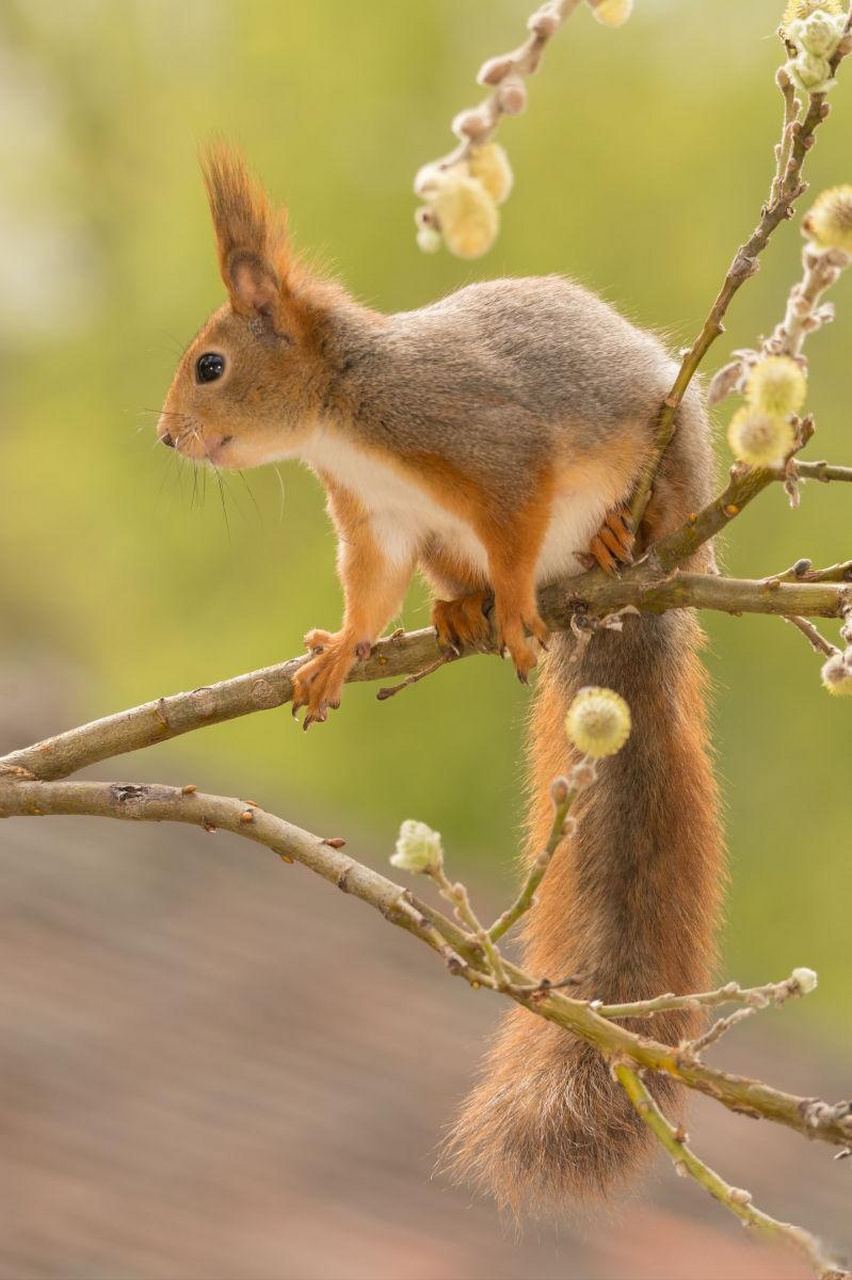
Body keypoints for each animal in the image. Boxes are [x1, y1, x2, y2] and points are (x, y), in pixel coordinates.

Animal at [159, 147, 721, 1208]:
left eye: (211, 364)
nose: (167, 437)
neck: (343, 408)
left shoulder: (490, 447)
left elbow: (516, 525)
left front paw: (519, 605)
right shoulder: (379, 518)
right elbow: (369, 594)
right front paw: (339, 651)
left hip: (674, 460)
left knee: (652, 515)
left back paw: (618, 543)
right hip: (441, 548)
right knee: (454, 578)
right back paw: (461, 614)